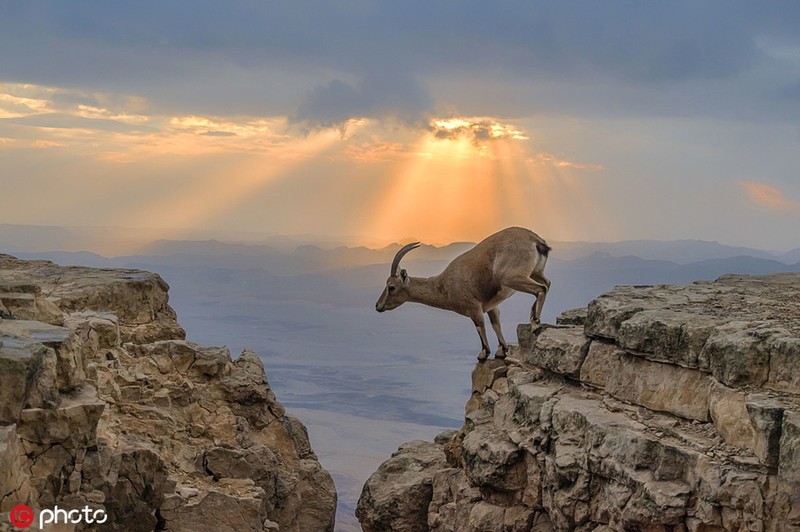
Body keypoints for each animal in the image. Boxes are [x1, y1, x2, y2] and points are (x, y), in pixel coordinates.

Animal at [376, 227, 552, 360]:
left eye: (391, 287)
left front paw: (484, 354)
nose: (378, 306)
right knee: (547, 284)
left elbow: (480, 326)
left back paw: (535, 322)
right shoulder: (491, 307)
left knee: (540, 289)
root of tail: (536, 241)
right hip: (536, 272)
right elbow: (496, 324)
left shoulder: (474, 308)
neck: (444, 286)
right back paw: (533, 317)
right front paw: (501, 350)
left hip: (512, 277)